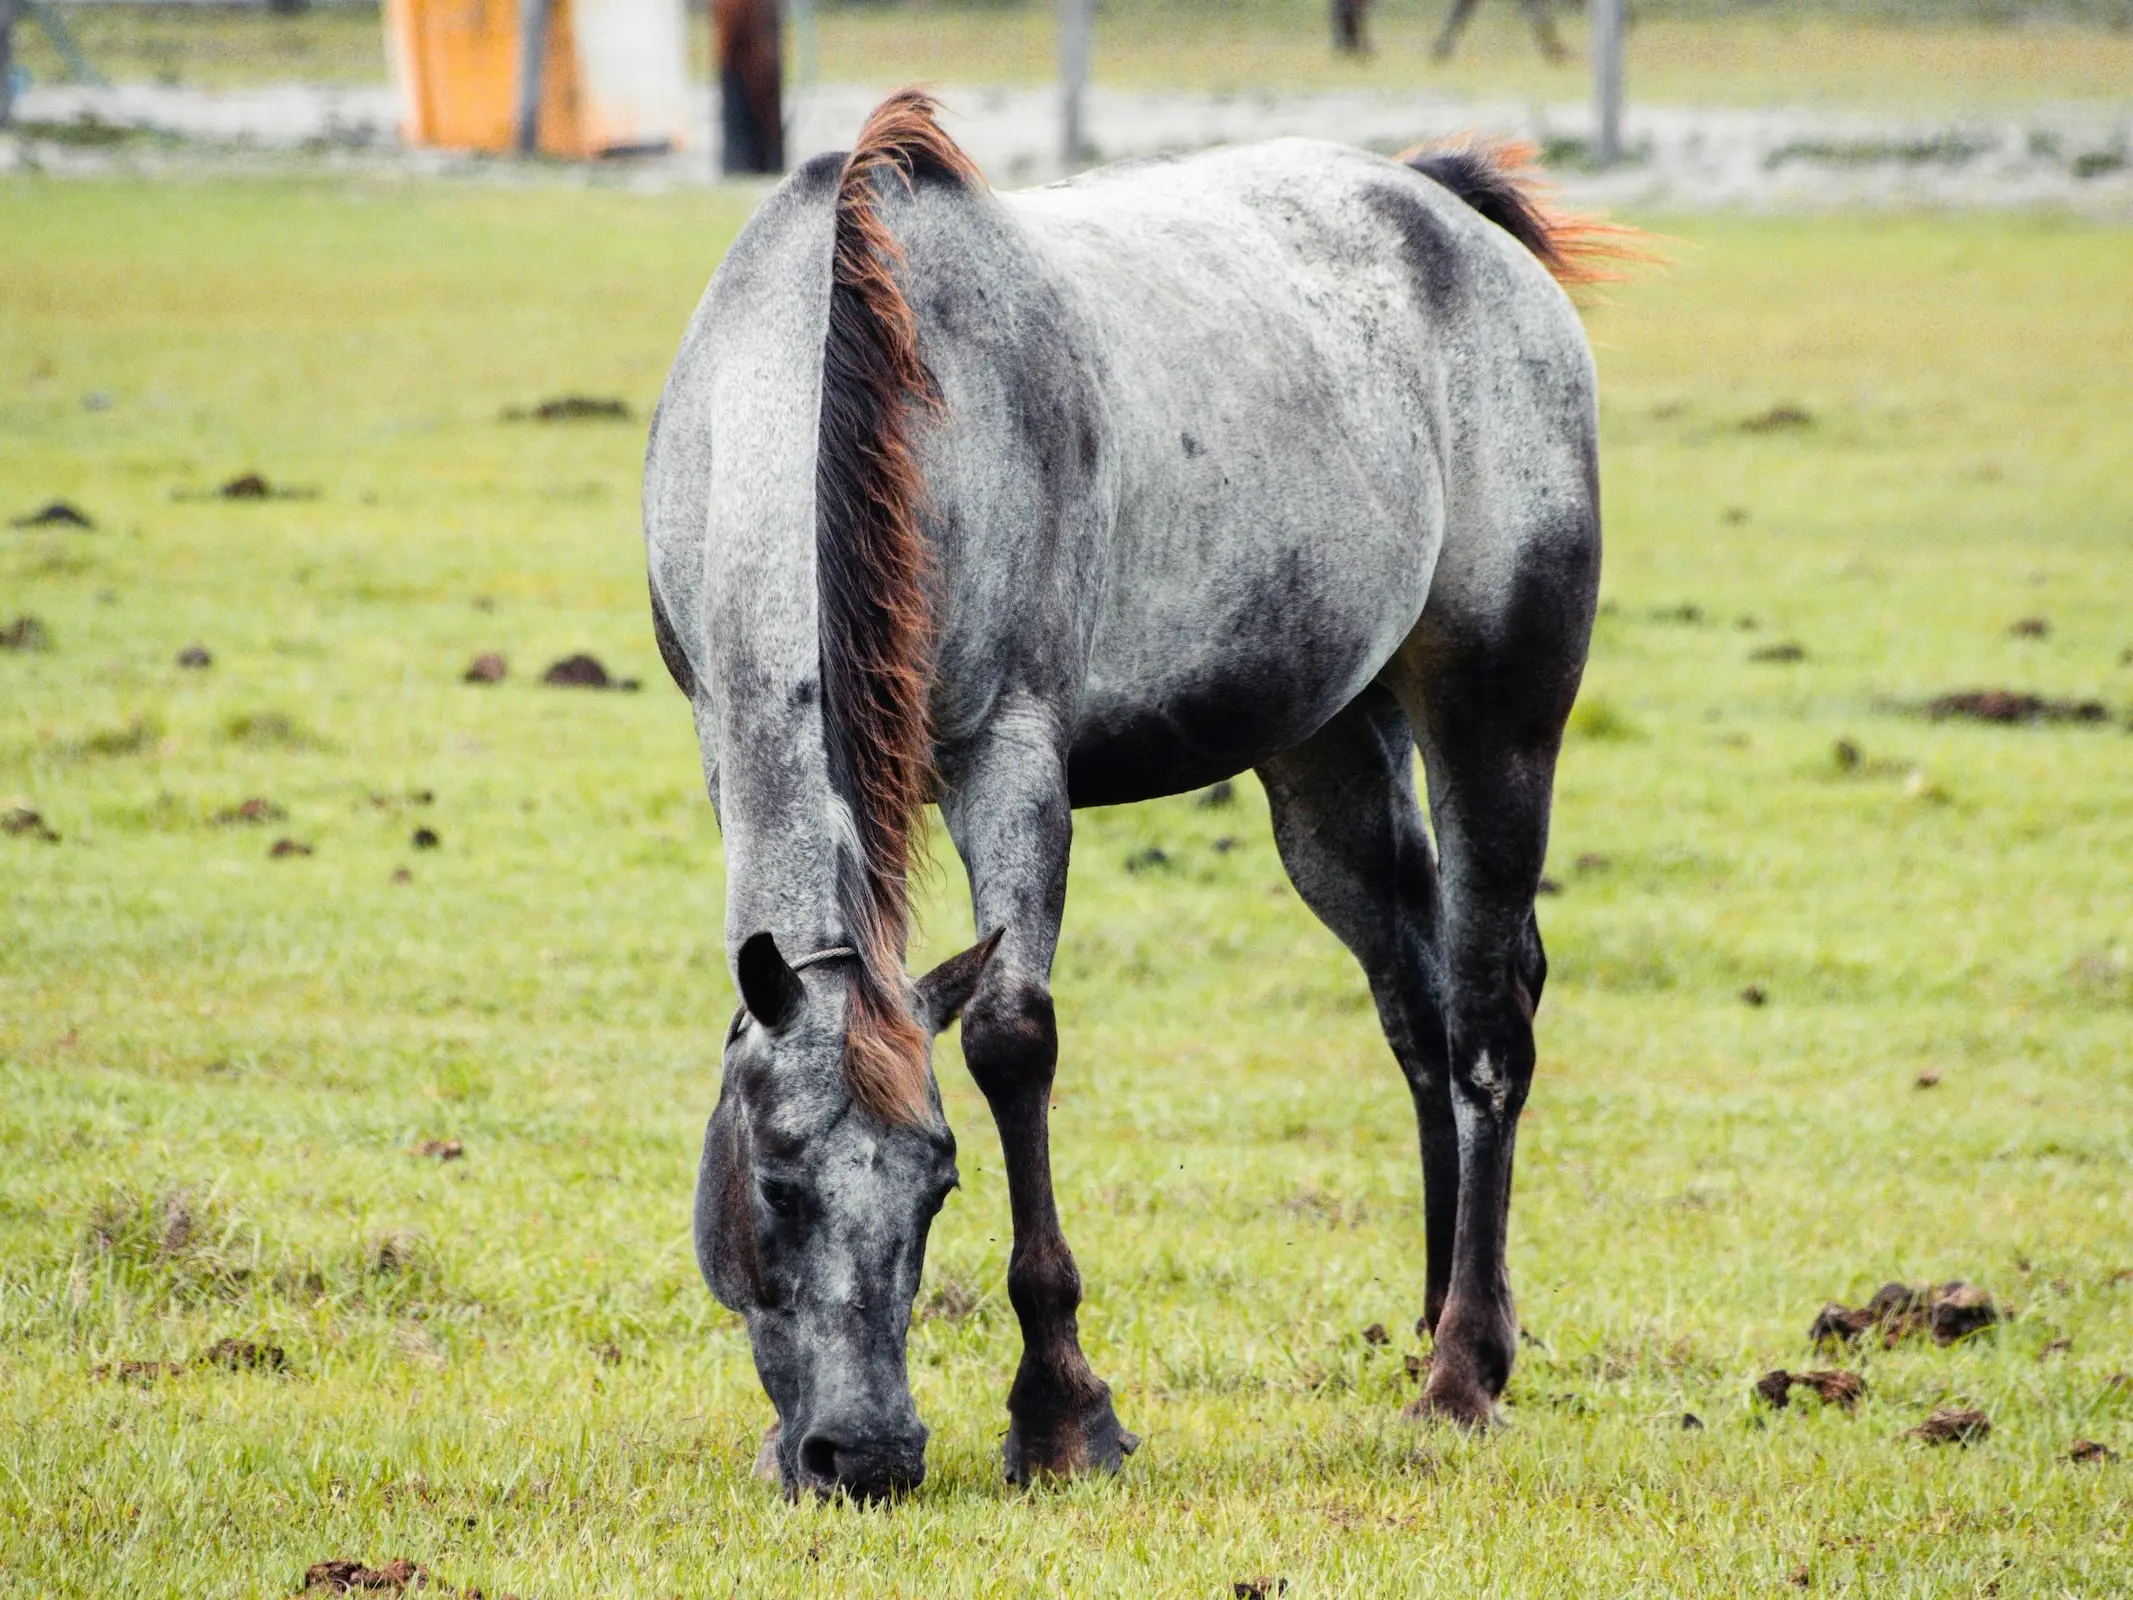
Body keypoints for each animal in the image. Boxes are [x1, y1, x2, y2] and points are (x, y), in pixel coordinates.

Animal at [639, 90, 1638, 1501]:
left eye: (940, 1184)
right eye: (775, 1184)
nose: (865, 1453)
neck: (845, 369)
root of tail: (1450, 210)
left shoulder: (1010, 756)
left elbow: (1012, 1041)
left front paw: (1061, 1411)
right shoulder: (720, 743)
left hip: (1496, 718)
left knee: (1490, 1020)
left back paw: (1463, 1370)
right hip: (1329, 759)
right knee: (1422, 1012)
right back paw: (1437, 1313)